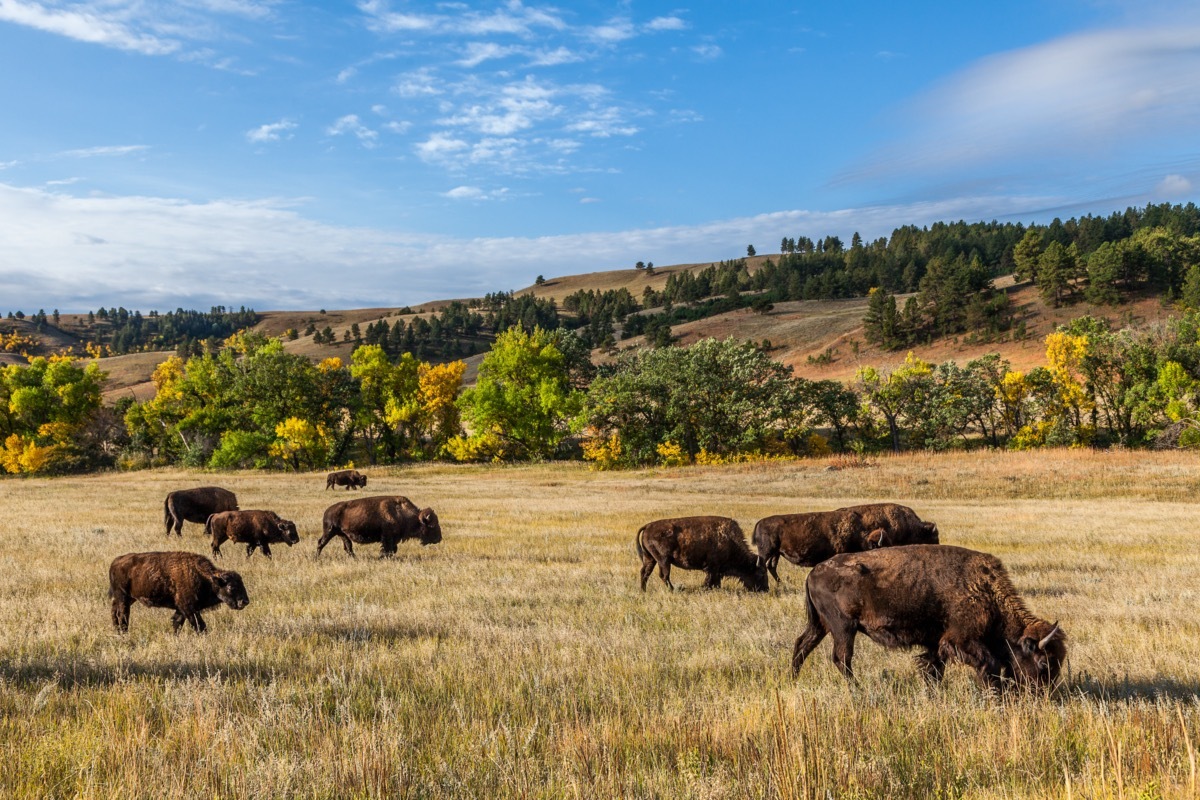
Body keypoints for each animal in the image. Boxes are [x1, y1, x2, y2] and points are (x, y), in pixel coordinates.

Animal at [109, 551, 249, 633]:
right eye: (231, 587)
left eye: (242, 584)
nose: (245, 601)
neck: (205, 577)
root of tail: (116, 561)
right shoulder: (189, 608)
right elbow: (199, 625)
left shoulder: (182, 609)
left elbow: (177, 622)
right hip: (123, 597)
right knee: (122, 614)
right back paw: (123, 631)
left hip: (128, 598)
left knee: (115, 611)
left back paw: (117, 631)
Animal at [636, 516, 769, 592]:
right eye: (761, 574)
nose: (766, 589)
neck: (729, 539)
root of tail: (648, 526)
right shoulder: (712, 567)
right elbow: (710, 580)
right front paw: (706, 589)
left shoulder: (716, 570)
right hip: (663, 561)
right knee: (664, 575)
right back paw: (673, 590)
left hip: (650, 559)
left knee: (645, 573)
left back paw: (643, 591)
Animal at [791, 544, 1066, 691]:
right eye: (1044, 663)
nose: (1042, 695)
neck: (984, 590)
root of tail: (814, 572)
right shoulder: (960, 640)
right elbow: (988, 663)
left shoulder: (936, 643)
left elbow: (934, 668)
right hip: (843, 628)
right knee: (842, 657)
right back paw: (856, 687)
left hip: (821, 625)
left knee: (802, 644)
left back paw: (792, 677)